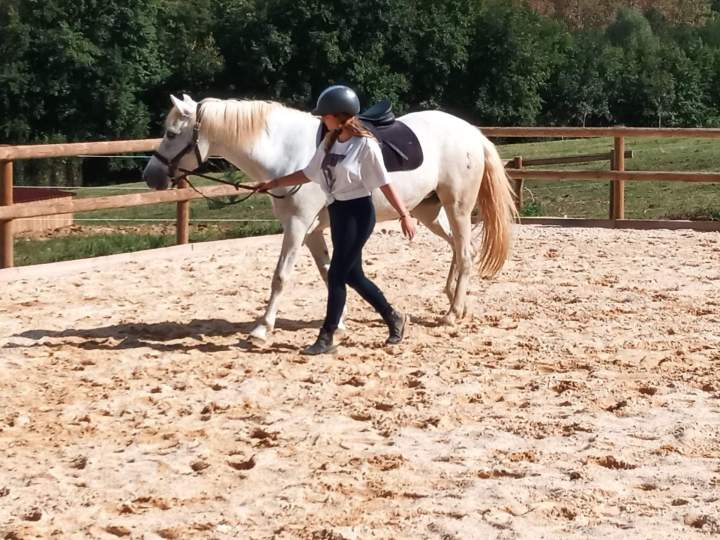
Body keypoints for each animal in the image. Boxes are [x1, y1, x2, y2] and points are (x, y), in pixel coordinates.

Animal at [143, 94, 517, 341]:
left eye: (172, 134)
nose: (150, 176)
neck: (286, 151)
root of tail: (471, 132)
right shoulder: (311, 231)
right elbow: (329, 274)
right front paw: (339, 322)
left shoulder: (297, 226)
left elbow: (280, 277)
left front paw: (262, 328)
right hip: (429, 212)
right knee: (461, 249)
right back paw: (456, 301)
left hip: (458, 207)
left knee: (465, 253)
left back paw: (453, 314)